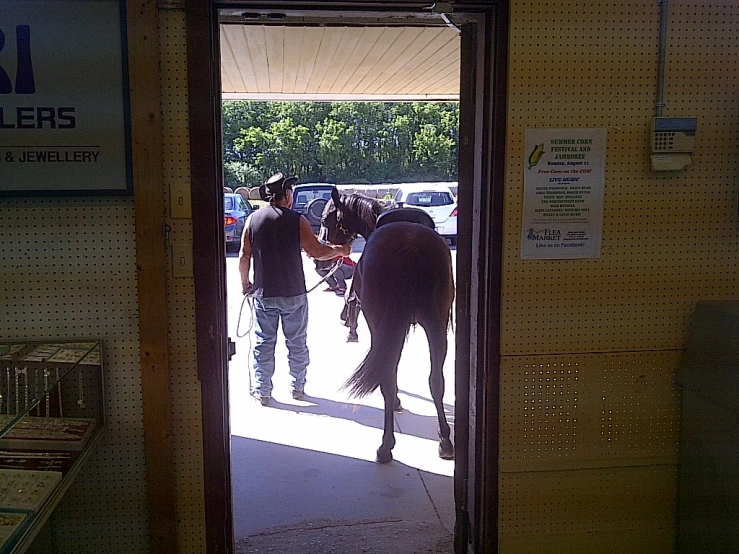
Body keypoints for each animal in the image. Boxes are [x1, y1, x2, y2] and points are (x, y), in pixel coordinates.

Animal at [322, 189, 456, 462]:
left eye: (327, 217)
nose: (329, 247)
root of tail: (410, 245)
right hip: (436, 326)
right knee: (436, 381)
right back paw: (445, 441)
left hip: (381, 325)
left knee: (387, 377)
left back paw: (386, 445)